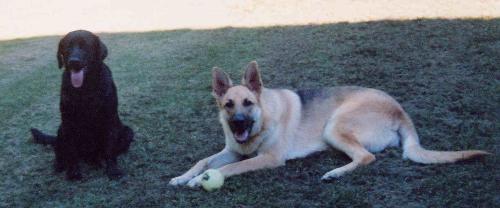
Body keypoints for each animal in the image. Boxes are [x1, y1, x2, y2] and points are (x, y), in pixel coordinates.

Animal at [30, 29, 134, 180]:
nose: (74, 62)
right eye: (67, 47)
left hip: (128, 132)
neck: (85, 88)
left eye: (86, 46)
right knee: (59, 151)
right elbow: (71, 151)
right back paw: (60, 165)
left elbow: (110, 149)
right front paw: (73, 172)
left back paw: (97, 161)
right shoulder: (68, 121)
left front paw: (113, 170)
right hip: (61, 130)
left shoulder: (109, 118)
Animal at [170, 61, 490, 188]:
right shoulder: (233, 150)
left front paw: (199, 180)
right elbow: (203, 161)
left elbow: (227, 169)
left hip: (334, 126)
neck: (263, 119)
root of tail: (399, 110)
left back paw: (335, 173)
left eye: (248, 103)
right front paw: (183, 177)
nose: (238, 125)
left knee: (367, 157)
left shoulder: (268, 158)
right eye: (229, 105)